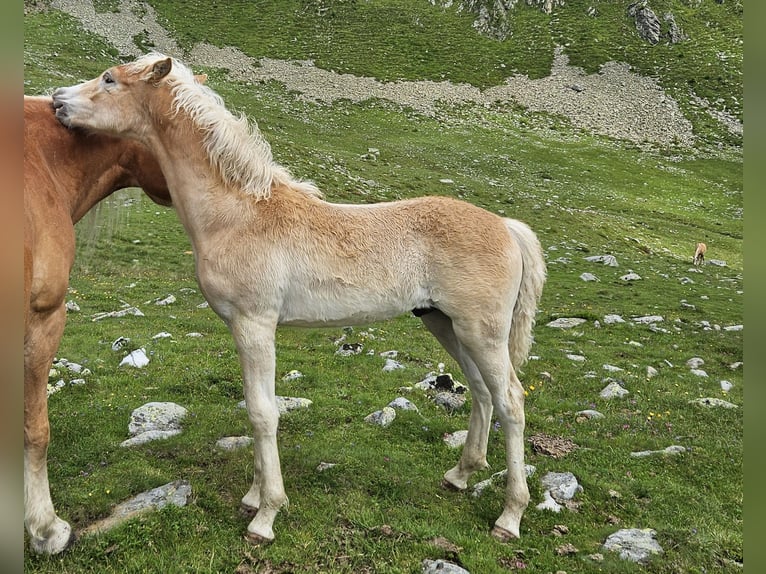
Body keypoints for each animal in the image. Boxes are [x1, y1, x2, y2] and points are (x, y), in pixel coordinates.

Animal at [51, 54, 548, 548]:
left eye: (110, 80)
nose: (56, 101)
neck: (239, 214)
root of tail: (507, 226)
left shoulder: (254, 323)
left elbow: (261, 414)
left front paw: (265, 516)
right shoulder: (246, 328)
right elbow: (258, 406)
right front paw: (253, 497)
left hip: (480, 331)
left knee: (510, 400)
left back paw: (510, 516)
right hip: (444, 323)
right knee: (482, 392)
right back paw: (460, 474)